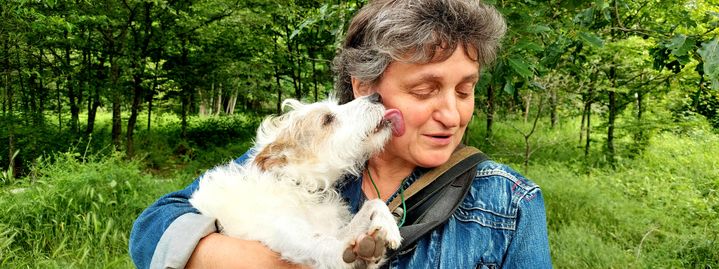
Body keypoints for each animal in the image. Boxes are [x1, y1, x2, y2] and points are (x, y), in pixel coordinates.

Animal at [190, 93, 404, 266]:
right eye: (327, 119)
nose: (376, 96)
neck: (302, 187)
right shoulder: (290, 236)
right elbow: (324, 244)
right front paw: (358, 255)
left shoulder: (332, 229)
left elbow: (373, 203)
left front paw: (388, 225)